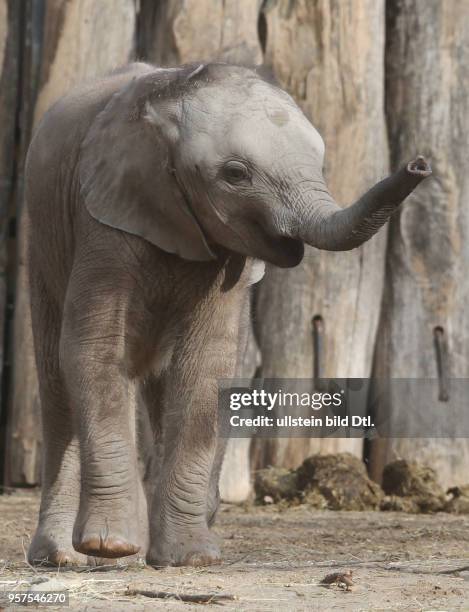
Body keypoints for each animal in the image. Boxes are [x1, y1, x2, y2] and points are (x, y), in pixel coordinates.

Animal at [24, 63, 428, 568]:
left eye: (320, 162)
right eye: (236, 173)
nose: (419, 164)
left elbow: (208, 367)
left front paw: (191, 558)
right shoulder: (103, 214)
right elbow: (93, 349)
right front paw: (110, 545)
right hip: (43, 244)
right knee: (56, 383)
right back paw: (66, 557)